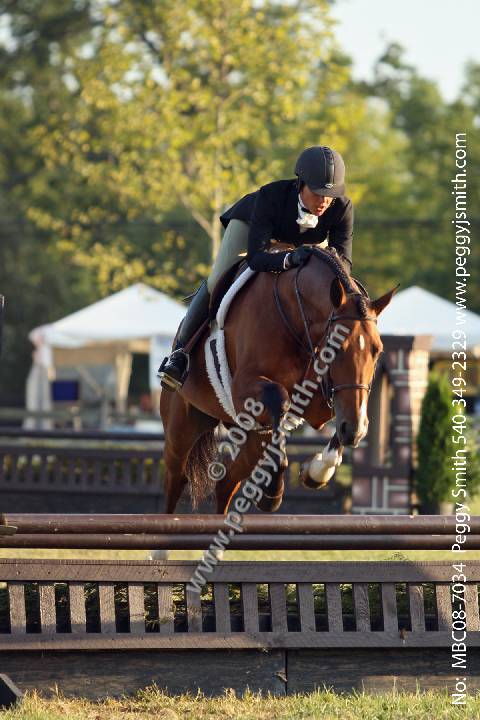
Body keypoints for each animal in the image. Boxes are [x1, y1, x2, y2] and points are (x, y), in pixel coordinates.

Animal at [160, 247, 396, 514]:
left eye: (377, 350)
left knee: (225, 483)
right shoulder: (244, 387)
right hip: (181, 429)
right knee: (176, 480)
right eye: (336, 348)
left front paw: (317, 471)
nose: (356, 431)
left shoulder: (323, 401)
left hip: (249, 435)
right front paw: (272, 492)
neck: (296, 319)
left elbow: (336, 417)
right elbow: (279, 399)